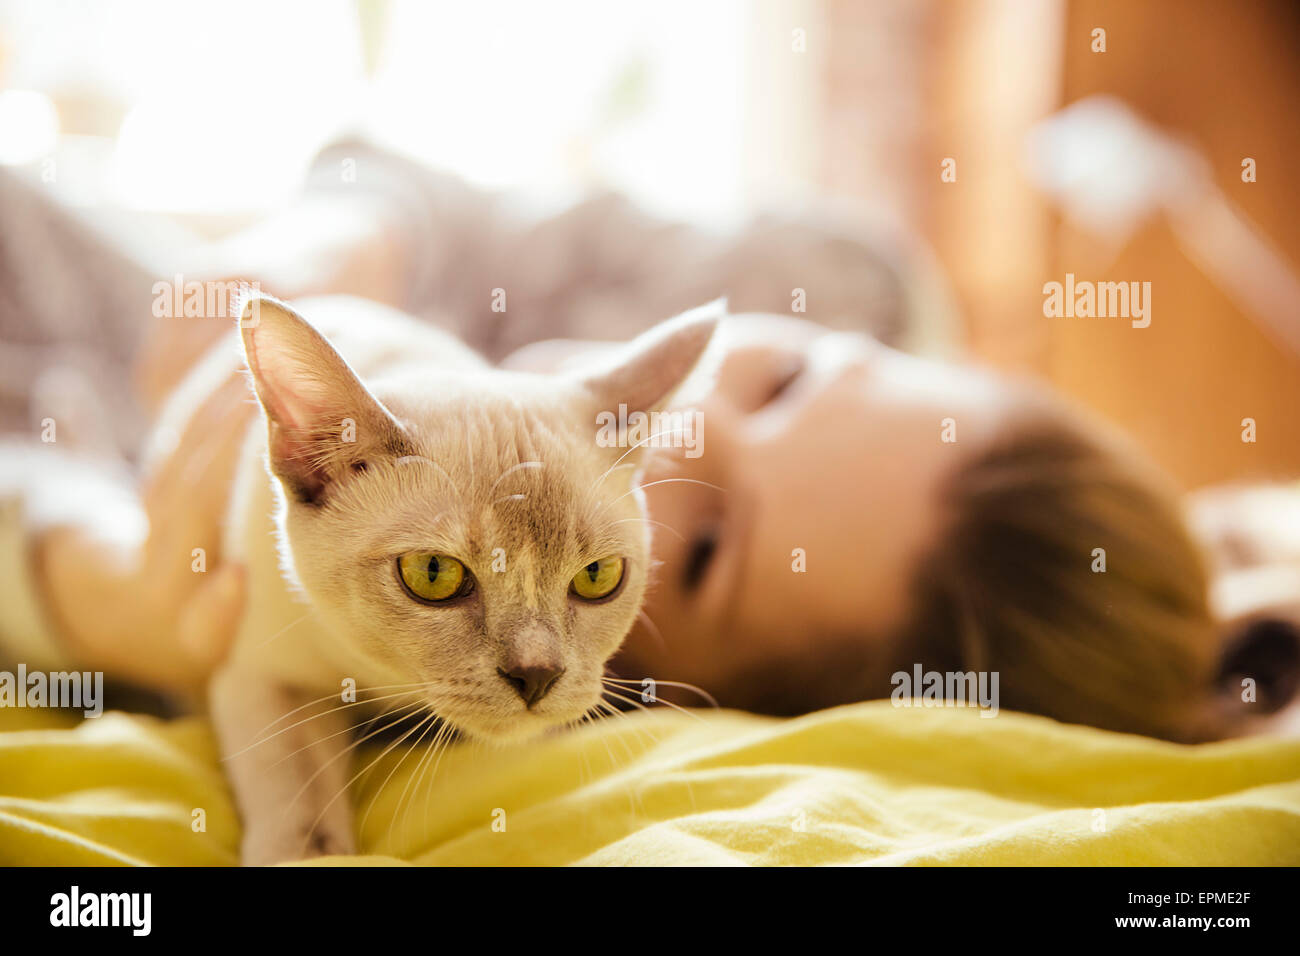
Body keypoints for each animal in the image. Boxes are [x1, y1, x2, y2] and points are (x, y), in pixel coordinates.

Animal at [184, 293, 717, 868]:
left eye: (597, 576)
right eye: (433, 574)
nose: (537, 675)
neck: (387, 683)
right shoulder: (266, 672)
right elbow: (297, 792)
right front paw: (312, 853)